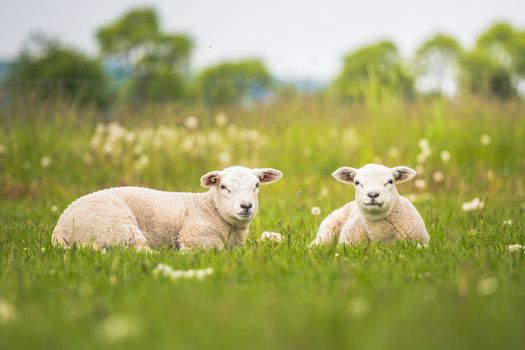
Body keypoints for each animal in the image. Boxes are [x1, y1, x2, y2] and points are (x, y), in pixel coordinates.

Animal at [52, 166, 282, 250]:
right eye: (224, 187)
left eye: (257, 185)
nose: (246, 206)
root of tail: (60, 227)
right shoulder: (194, 233)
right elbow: (215, 249)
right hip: (116, 226)